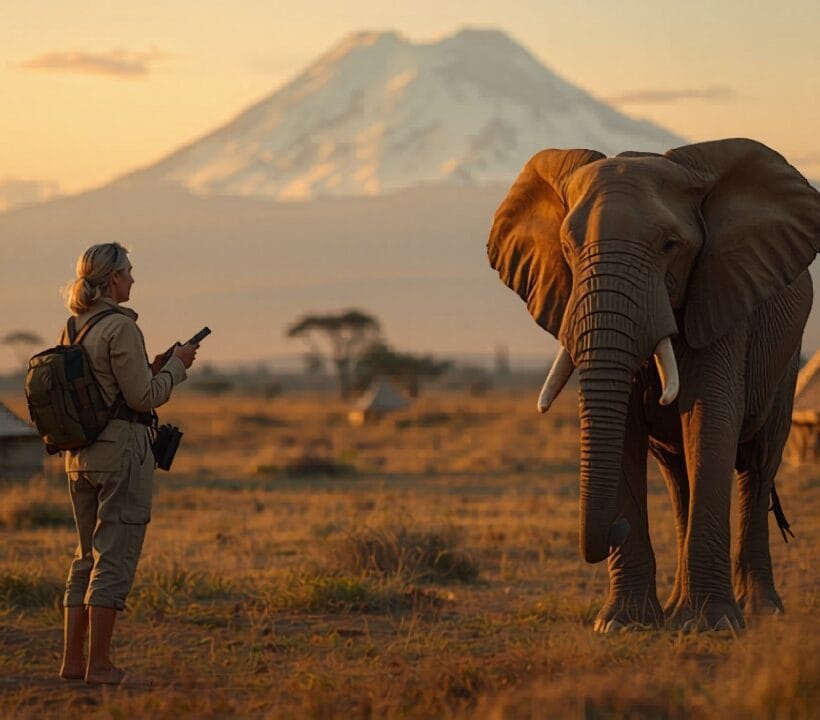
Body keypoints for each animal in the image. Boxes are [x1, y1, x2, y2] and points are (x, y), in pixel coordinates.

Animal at [487, 138, 820, 632]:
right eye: (567, 246)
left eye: (669, 246)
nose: (613, 528)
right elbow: (624, 432)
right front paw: (622, 624)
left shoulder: (719, 297)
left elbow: (710, 422)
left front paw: (713, 626)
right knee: (679, 480)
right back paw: (678, 608)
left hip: (786, 360)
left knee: (759, 467)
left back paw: (760, 611)